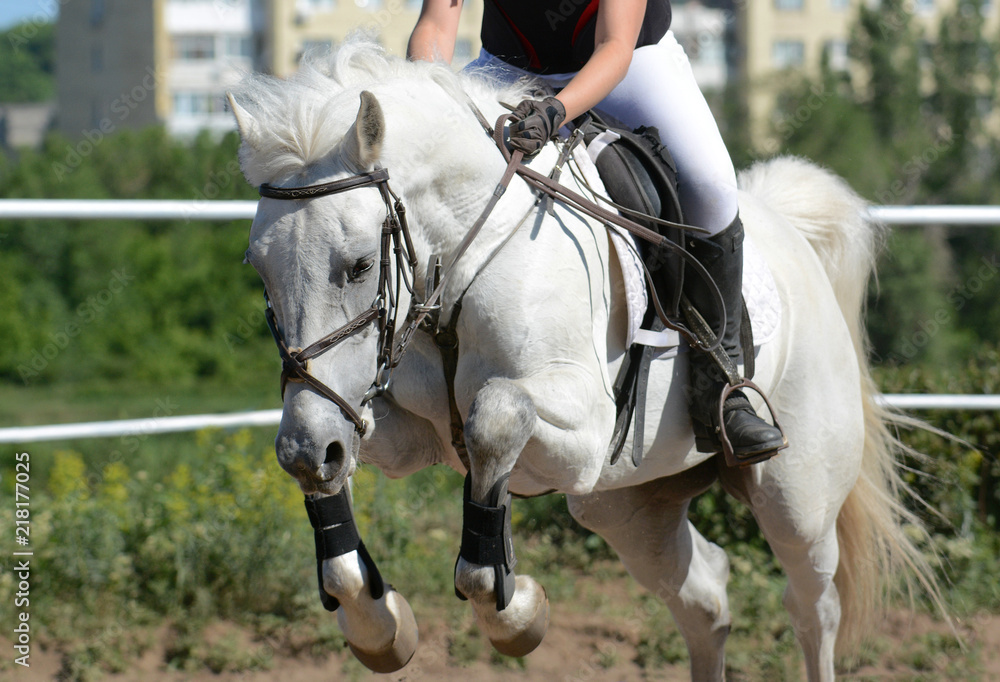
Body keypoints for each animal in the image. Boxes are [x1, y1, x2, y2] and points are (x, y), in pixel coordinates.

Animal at [227, 38, 936, 680]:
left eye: (358, 266)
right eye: (258, 271)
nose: (307, 448)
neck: (464, 254)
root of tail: (793, 235)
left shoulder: (584, 432)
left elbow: (495, 417)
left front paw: (515, 611)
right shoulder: (384, 426)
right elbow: (347, 465)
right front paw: (378, 626)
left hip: (797, 498)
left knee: (813, 607)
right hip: (627, 504)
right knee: (705, 601)